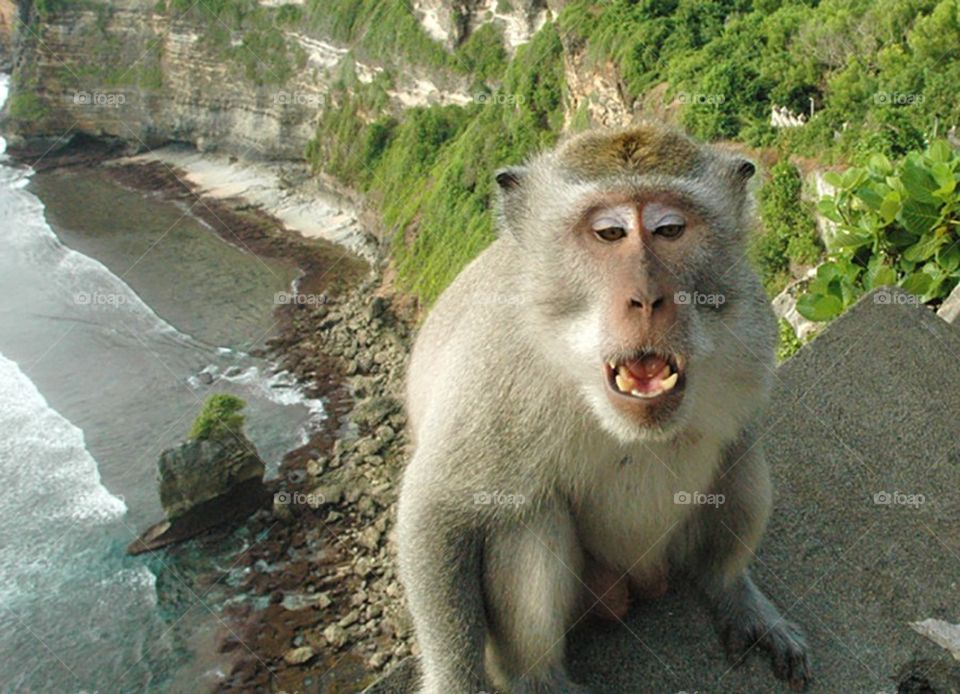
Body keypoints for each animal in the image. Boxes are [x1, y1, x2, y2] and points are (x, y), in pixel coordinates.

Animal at [395, 124, 811, 693]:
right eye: (609, 233)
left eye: (669, 229)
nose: (646, 297)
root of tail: (642, 579)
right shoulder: (493, 366)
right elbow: (438, 510)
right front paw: (458, 683)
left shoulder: (749, 320)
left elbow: (739, 438)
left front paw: (736, 589)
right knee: (526, 517)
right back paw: (537, 679)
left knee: (740, 465)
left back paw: (726, 588)